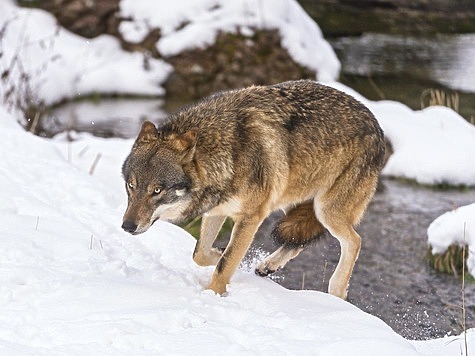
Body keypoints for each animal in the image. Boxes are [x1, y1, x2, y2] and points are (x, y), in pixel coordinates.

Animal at [122, 79, 386, 298]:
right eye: (131, 185)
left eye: (157, 190)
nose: (127, 226)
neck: (226, 152)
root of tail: (376, 123)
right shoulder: (217, 210)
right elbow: (200, 254)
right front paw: (220, 255)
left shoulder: (251, 217)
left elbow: (225, 264)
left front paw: (213, 295)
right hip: (290, 201)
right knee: (299, 238)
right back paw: (268, 266)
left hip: (326, 210)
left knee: (354, 241)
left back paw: (336, 292)